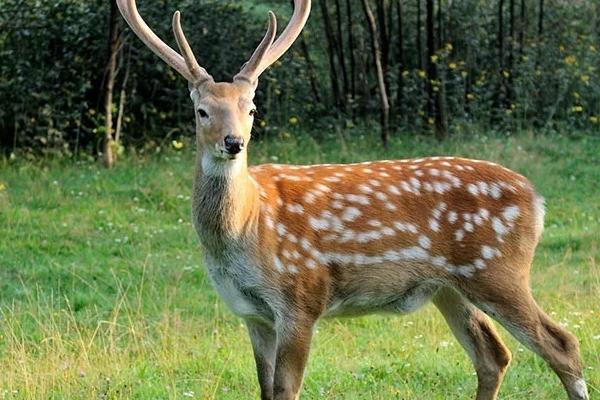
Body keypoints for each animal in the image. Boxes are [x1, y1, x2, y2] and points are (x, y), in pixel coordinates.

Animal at [116, 0, 592, 398]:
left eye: (251, 108)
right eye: (202, 111)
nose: (234, 142)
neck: (248, 225)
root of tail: (536, 198)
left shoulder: (302, 297)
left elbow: (285, 390)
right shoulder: (251, 314)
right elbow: (265, 390)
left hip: (497, 269)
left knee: (562, 343)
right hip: (449, 286)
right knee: (493, 355)